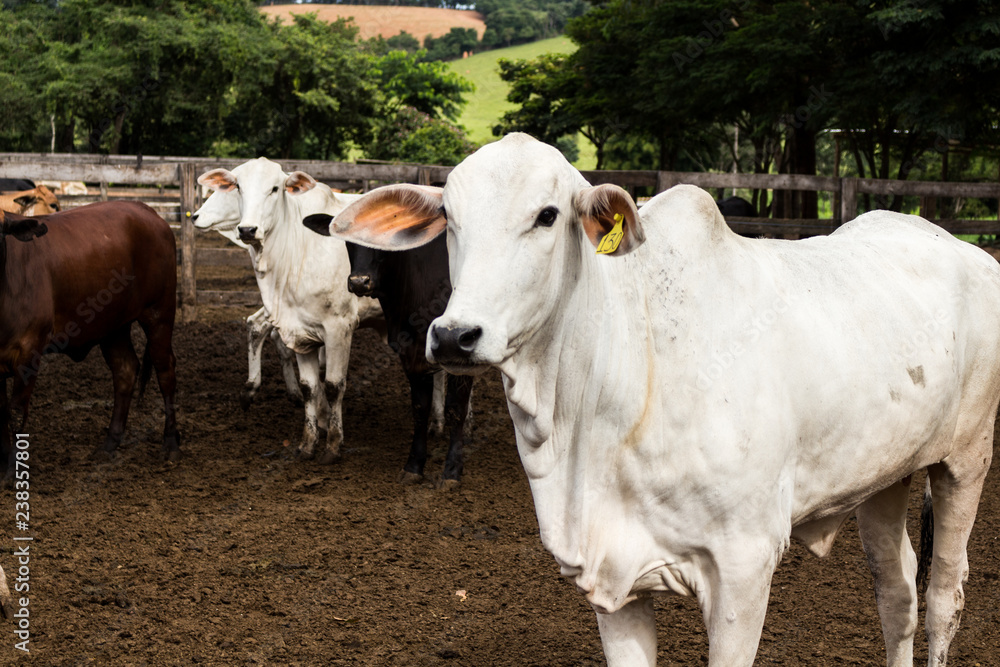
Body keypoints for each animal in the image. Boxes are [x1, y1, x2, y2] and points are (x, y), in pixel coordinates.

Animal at [0, 201, 182, 478]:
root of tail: (145, 209)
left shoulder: (29, 351)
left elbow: (16, 410)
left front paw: (12, 472)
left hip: (159, 313)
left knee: (165, 372)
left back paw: (171, 443)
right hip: (113, 326)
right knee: (125, 370)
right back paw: (110, 443)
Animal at [302, 217, 474, 488]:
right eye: (347, 239)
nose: (359, 281)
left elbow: (456, 409)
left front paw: (452, 472)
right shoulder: (411, 352)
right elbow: (419, 407)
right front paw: (414, 466)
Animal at [326, 132, 1000, 667]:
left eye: (547, 215)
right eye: (451, 218)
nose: (455, 335)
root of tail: (963, 248)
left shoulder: (744, 566)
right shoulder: (612, 577)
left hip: (965, 460)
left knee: (943, 597)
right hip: (886, 476)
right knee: (897, 593)